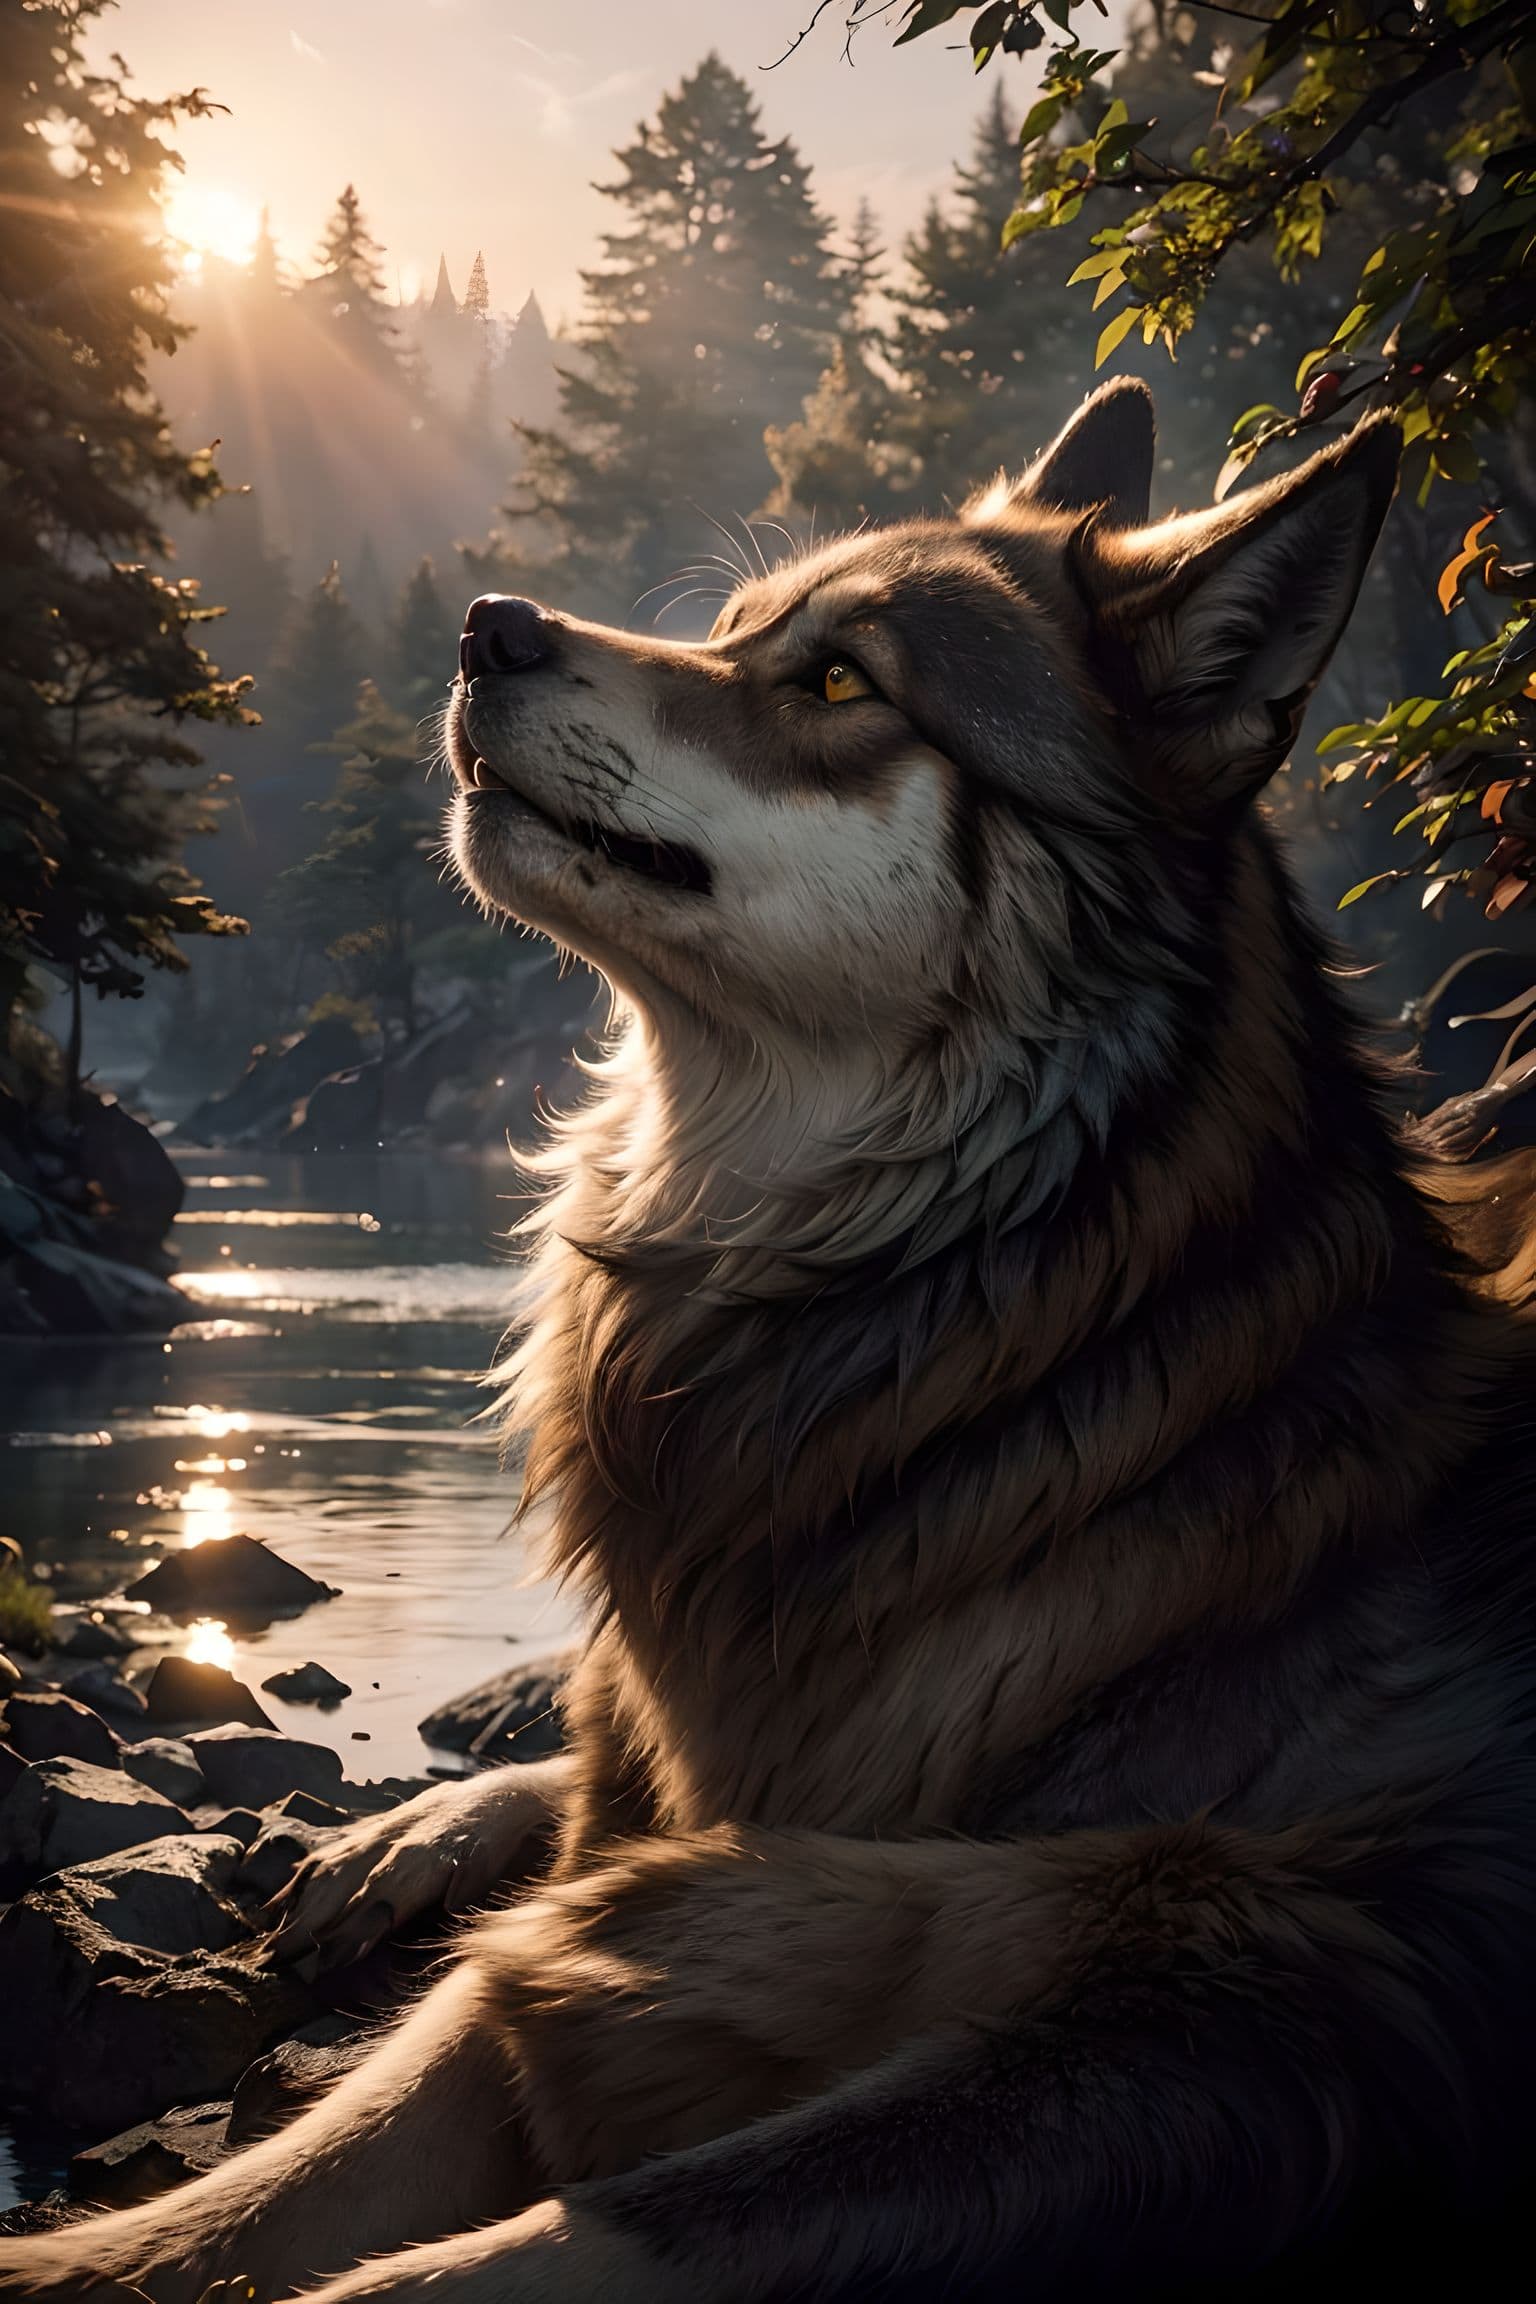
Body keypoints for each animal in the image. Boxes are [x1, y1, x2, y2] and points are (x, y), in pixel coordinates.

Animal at [3, 382, 1534, 2302]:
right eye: (730, 632)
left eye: (839, 683)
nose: (486, 625)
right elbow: (260, 2193)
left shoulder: (1261, 2011)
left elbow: (520, 2245)